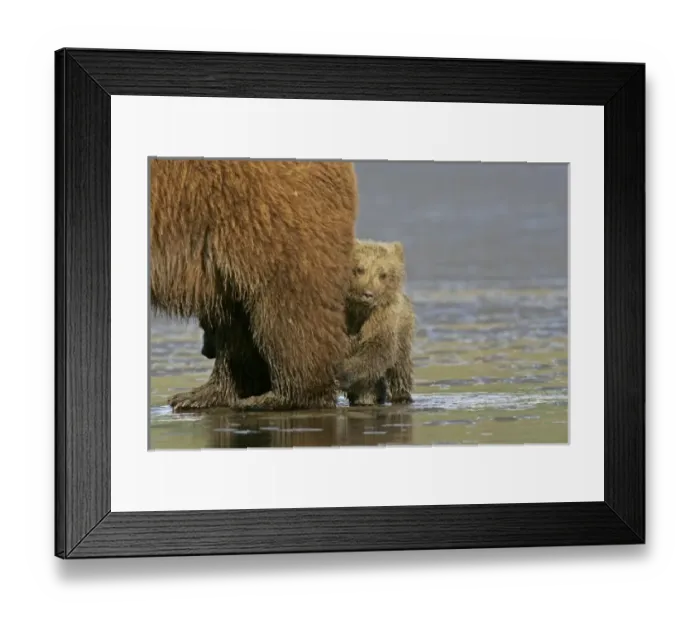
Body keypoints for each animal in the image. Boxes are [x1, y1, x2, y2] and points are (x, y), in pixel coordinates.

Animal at [338, 239, 415, 406]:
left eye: (383, 274)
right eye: (360, 269)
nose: (368, 294)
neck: (359, 310)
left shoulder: (383, 317)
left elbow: (377, 349)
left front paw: (343, 373)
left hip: (403, 332)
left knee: (400, 367)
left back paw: (399, 396)